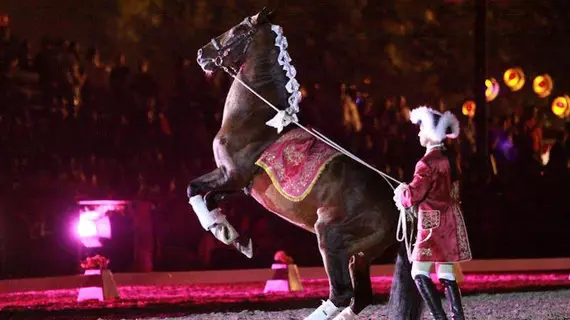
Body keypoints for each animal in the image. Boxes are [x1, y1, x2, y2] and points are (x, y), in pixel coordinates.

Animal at [187, 8, 422, 320]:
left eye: (238, 31)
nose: (202, 53)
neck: (258, 119)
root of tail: (398, 207)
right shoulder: (239, 184)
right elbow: (207, 196)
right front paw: (231, 235)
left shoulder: (232, 175)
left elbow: (195, 190)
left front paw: (224, 232)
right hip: (359, 255)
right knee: (359, 298)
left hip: (330, 238)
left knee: (341, 293)